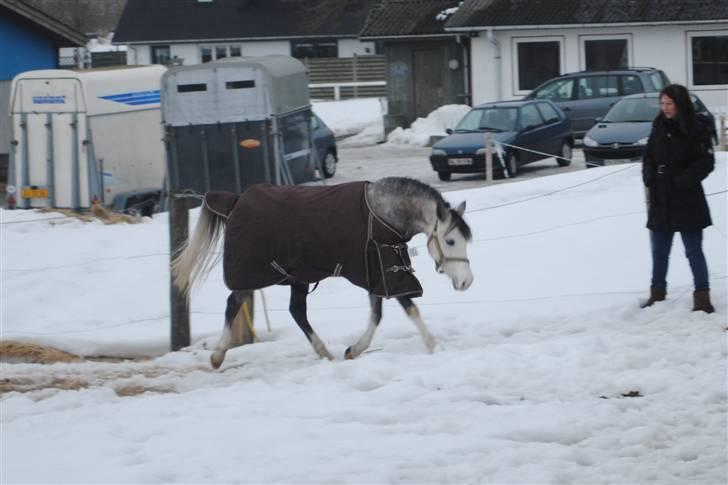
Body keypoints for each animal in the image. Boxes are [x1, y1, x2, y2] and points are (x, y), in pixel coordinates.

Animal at [173, 176, 474, 368]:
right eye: (450, 241)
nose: (466, 282)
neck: (381, 213)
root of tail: (236, 200)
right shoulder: (382, 269)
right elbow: (409, 309)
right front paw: (433, 345)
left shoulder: (376, 271)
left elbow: (378, 315)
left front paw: (353, 350)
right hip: (252, 274)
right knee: (232, 304)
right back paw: (217, 357)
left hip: (297, 278)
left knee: (297, 312)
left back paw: (325, 353)